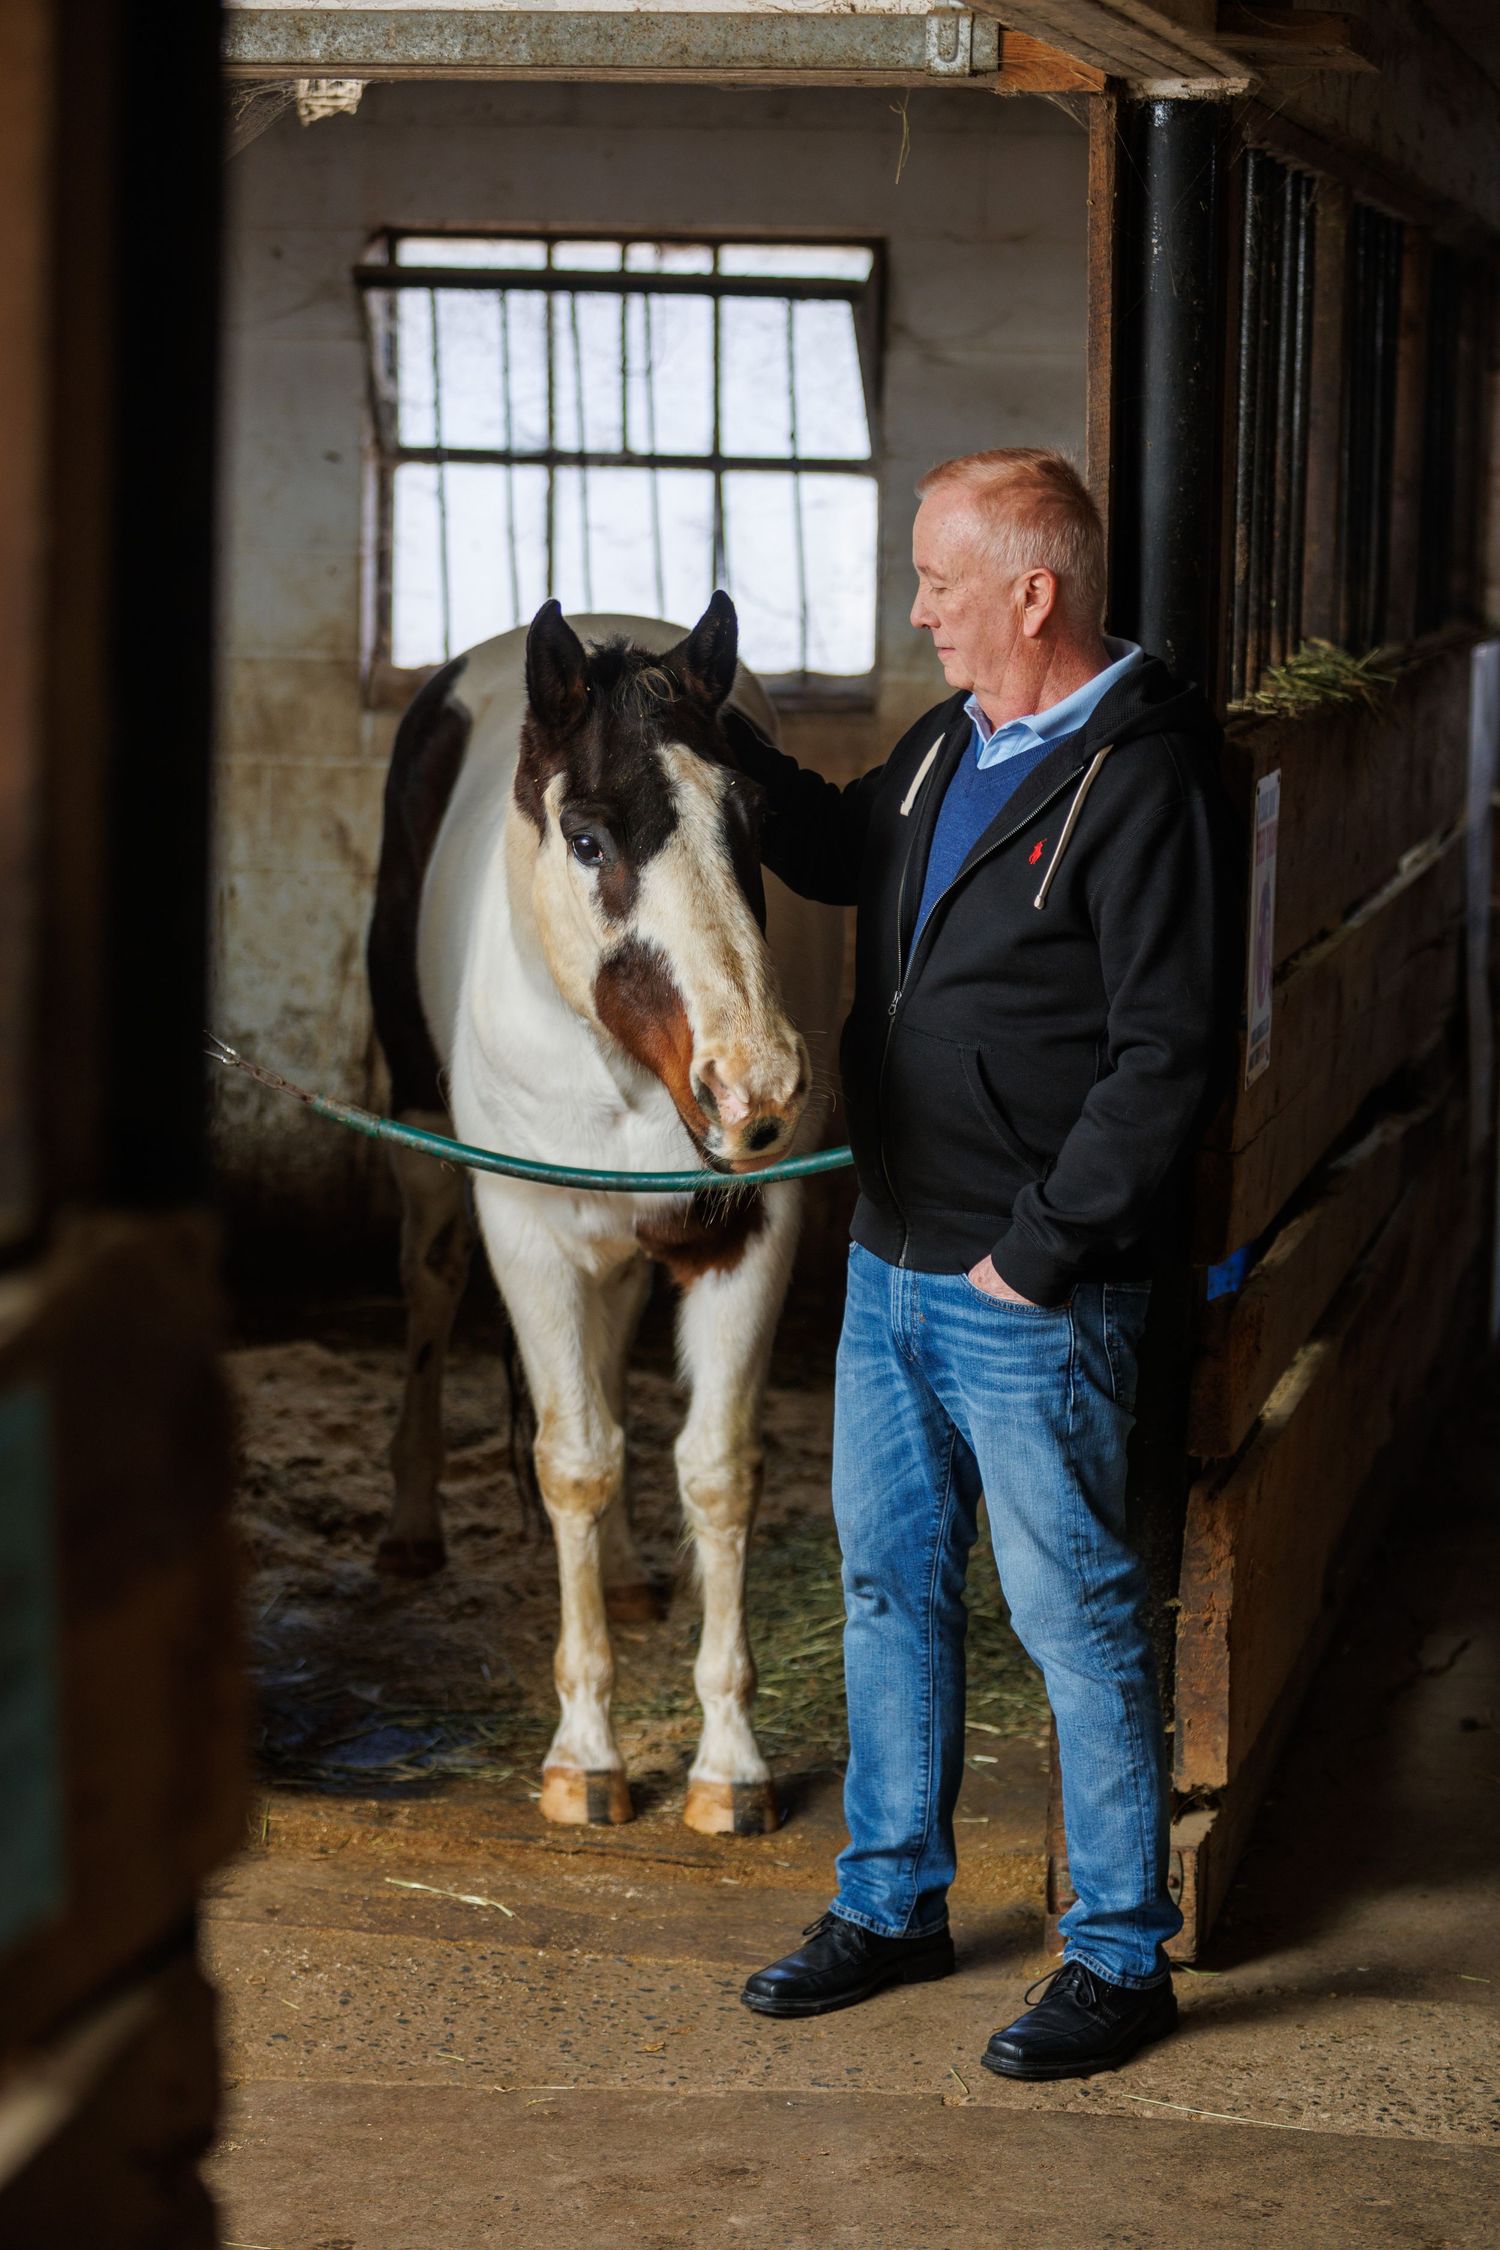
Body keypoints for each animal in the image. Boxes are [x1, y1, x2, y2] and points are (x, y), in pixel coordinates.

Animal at [365, 594, 842, 1834]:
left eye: (754, 821)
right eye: (587, 839)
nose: (756, 1087)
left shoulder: (750, 1233)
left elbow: (715, 1467)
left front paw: (730, 1765)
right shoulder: (525, 1233)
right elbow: (573, 1459)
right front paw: (585, 1755)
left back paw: (624, 1574)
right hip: (428, 1145)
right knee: (429, 1283)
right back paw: (411, 1529)